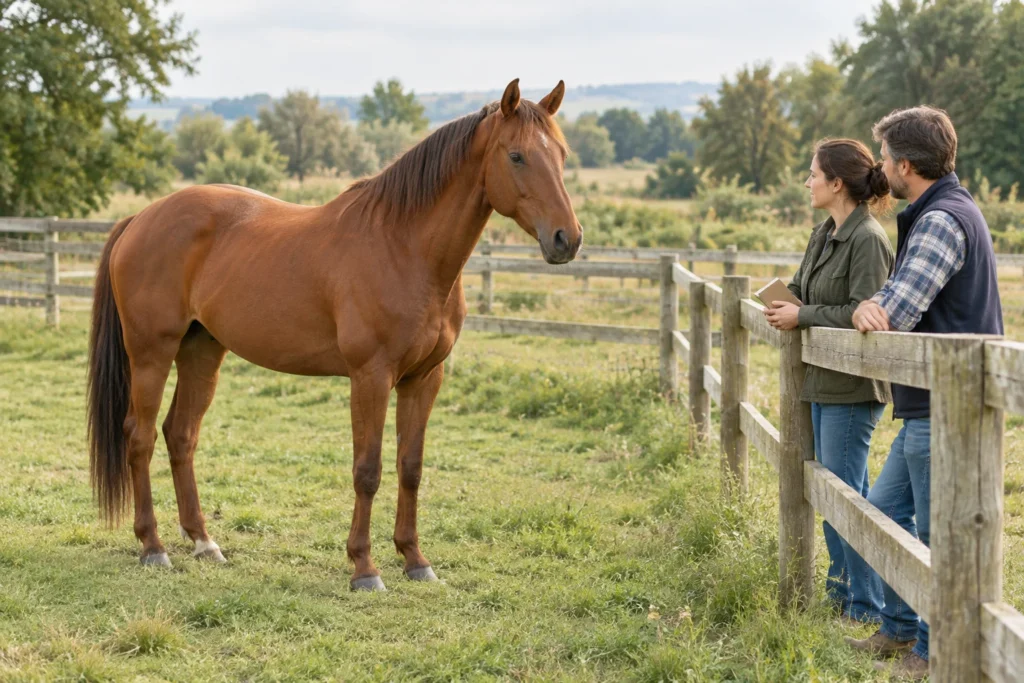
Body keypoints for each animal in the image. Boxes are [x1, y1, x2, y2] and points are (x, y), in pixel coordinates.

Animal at [86, 79, 581, 591]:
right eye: (517, 156)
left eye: (562, 154)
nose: (567, 239)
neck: (403, 246)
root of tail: (141, 218)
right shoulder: (370, 378)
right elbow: (368, 470)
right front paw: (364, 567)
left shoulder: (424, 379)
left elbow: (410, 467)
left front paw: (415, 559)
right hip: (151, 353)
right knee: (139, 436)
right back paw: (153, 546)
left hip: (202, 351)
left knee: (180, 434)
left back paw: (204, 542)